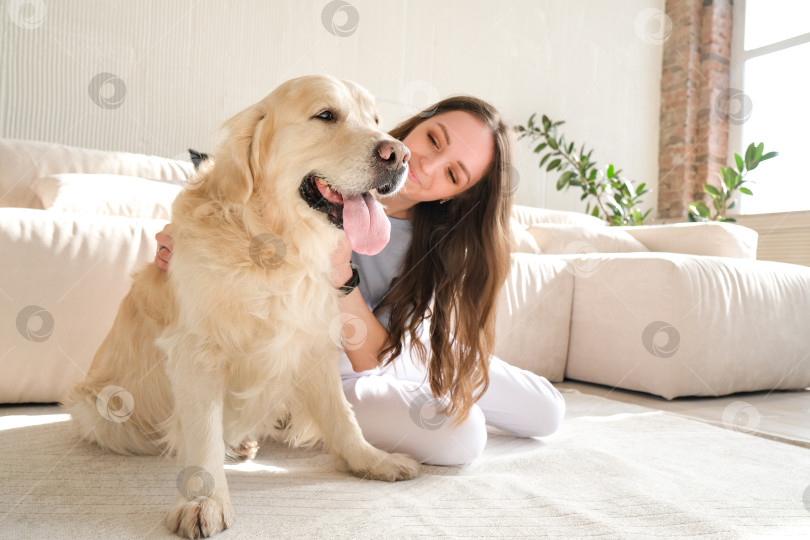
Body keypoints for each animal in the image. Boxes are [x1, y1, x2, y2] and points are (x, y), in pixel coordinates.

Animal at [61, 74, 416, 536]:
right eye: (325, 115)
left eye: (375, 120)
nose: (400, 154)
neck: (272, 245)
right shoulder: (196, 352)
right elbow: (203, 433)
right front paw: (202, 500)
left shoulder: (312, 343)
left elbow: (343, 415)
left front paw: (371, 459)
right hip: (101, 410)